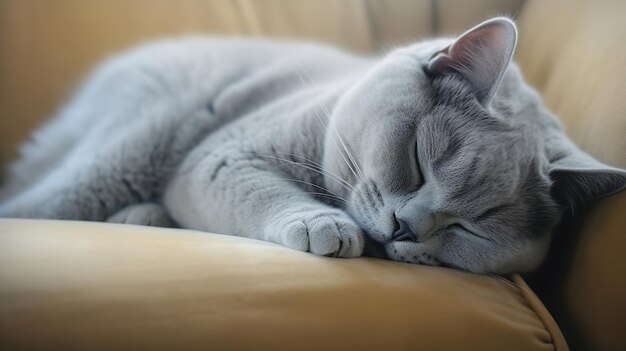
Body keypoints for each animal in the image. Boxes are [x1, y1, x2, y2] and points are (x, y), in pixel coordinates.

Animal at [1, 17, 624, 276]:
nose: (405, 228)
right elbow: (263, 192)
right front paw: (326, 227)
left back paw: (144, 217)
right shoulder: (222, 155)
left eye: (476, 227)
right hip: (132, 147)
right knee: (29, 203)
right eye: (418, 162)